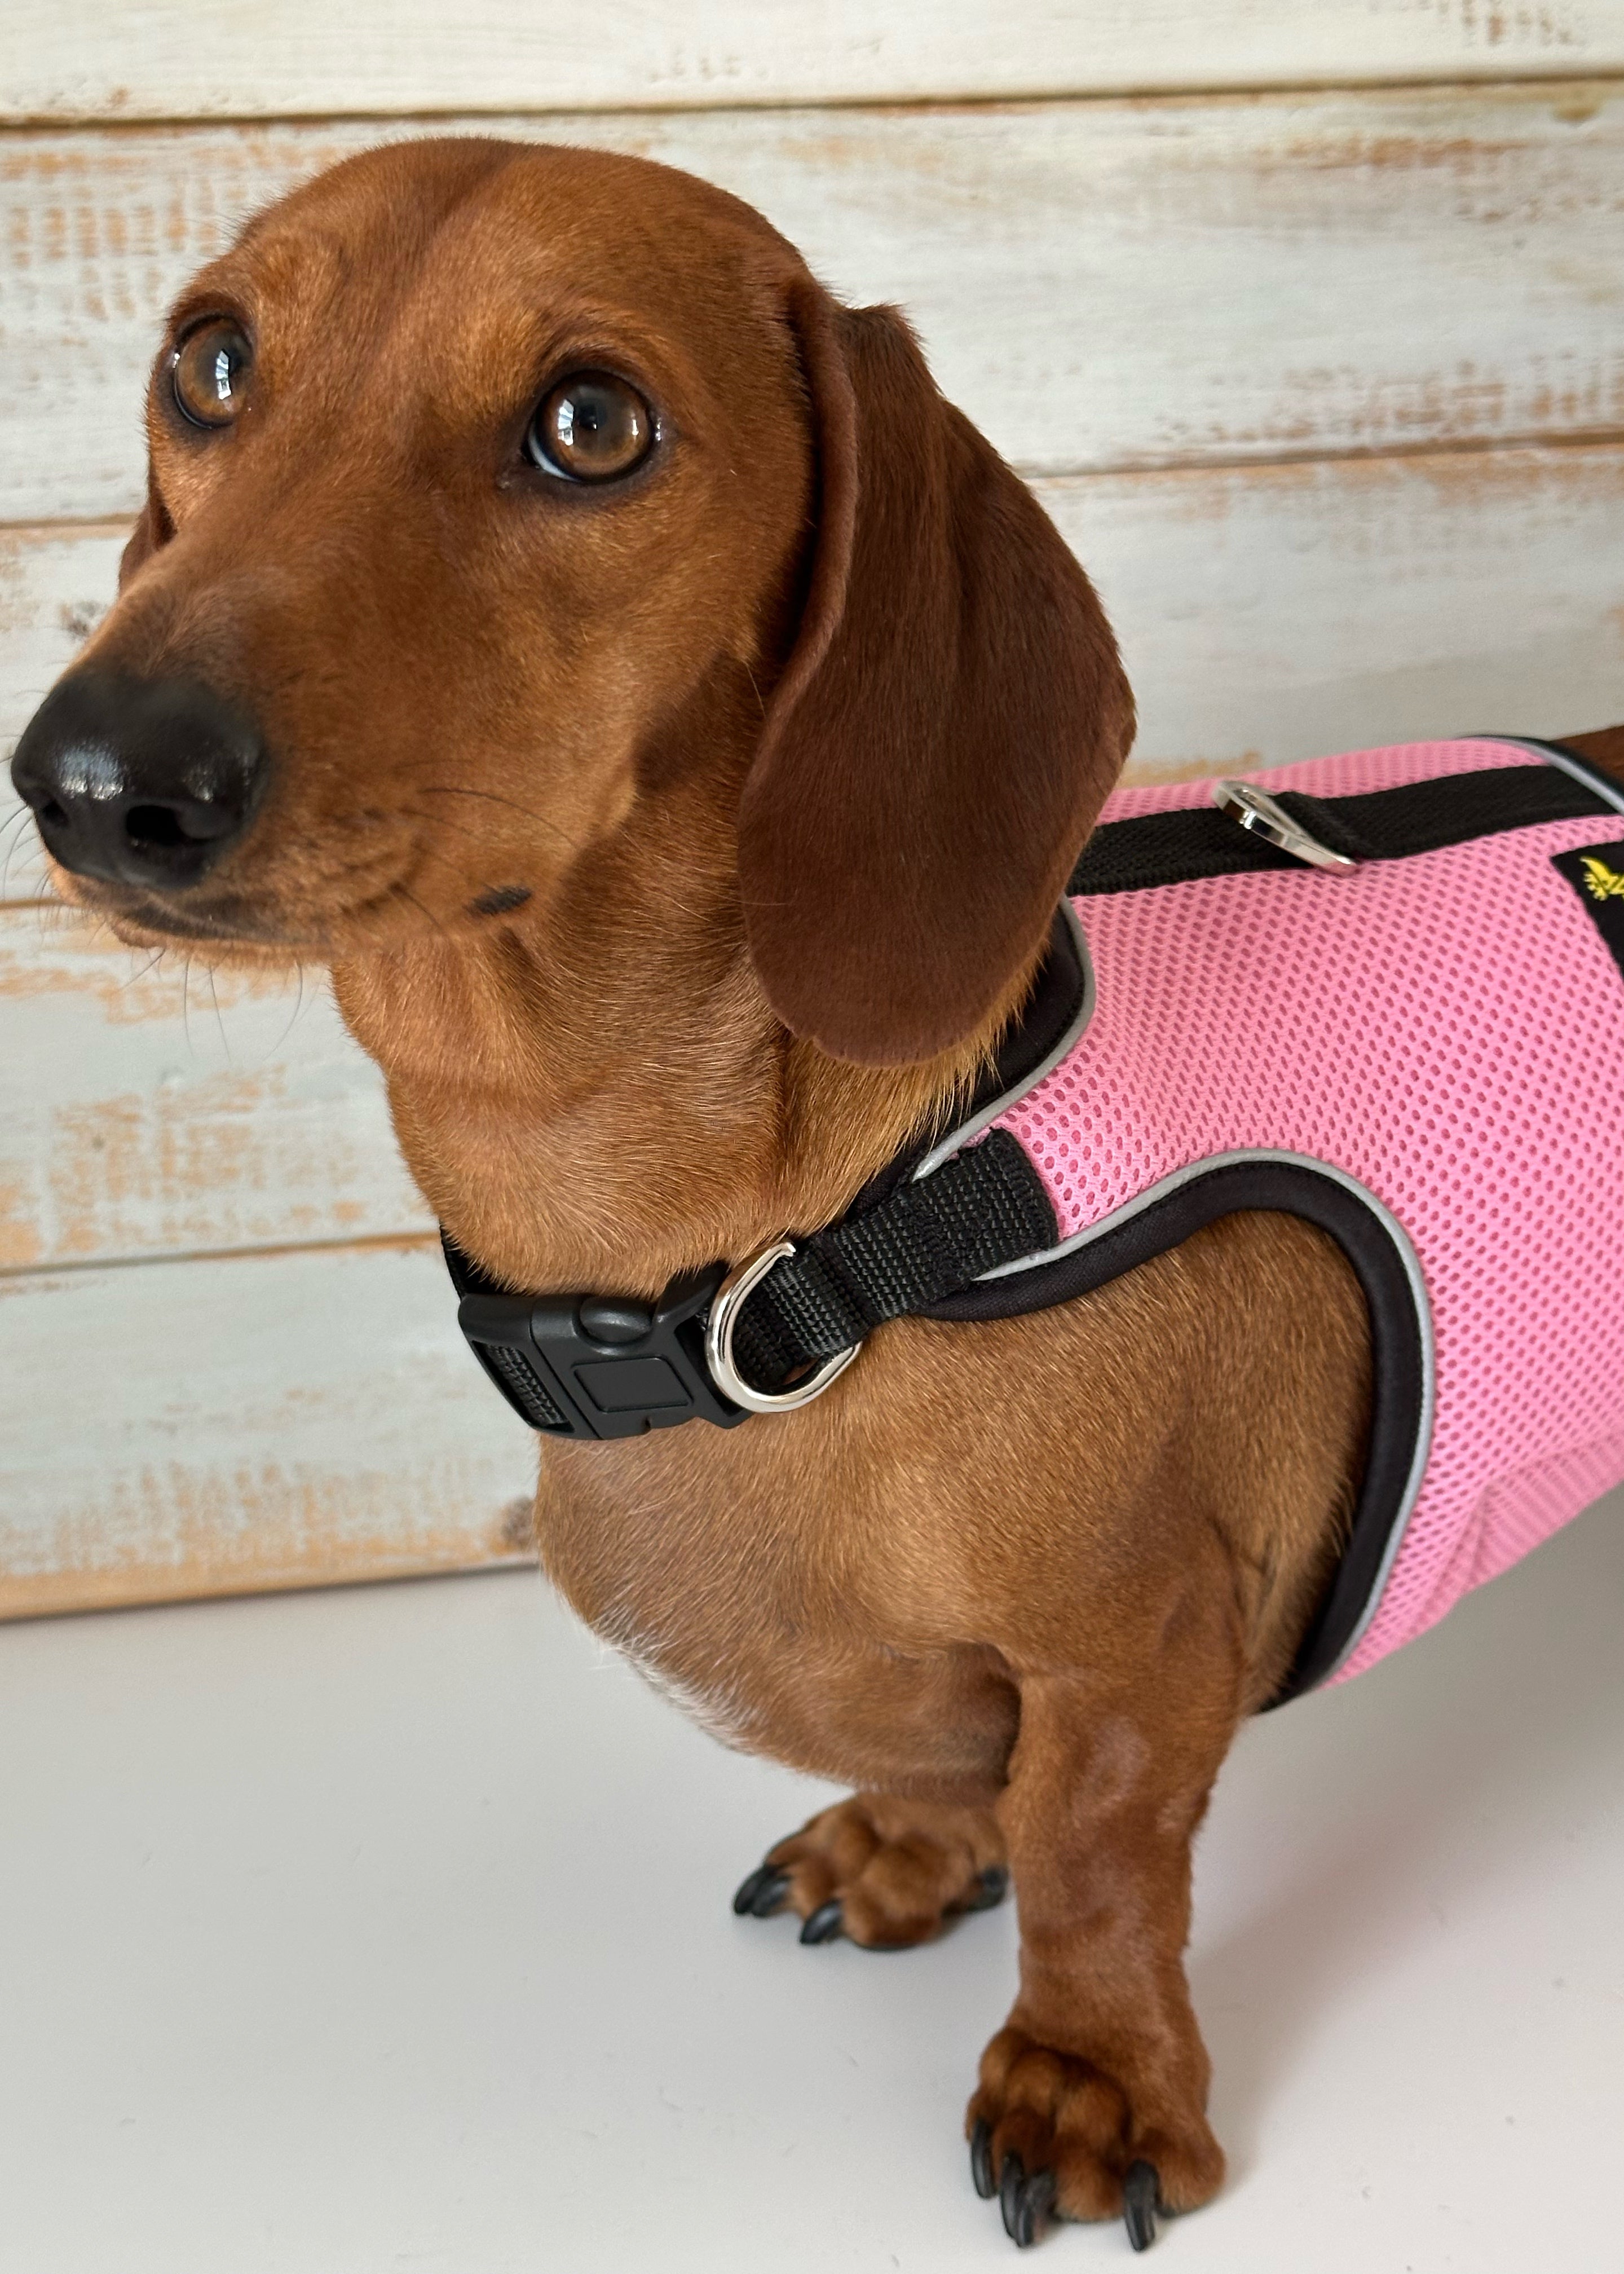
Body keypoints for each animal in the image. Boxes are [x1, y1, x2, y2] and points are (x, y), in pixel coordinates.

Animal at [13, 137, 1624, 2252]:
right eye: (208, 362)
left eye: (592, 424)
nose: (92, 776)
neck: (793, 1249)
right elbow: (956, 1773)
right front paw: (919, 1842)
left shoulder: (1138, 1654)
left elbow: (1097, 1851)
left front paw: (1091, 2070)